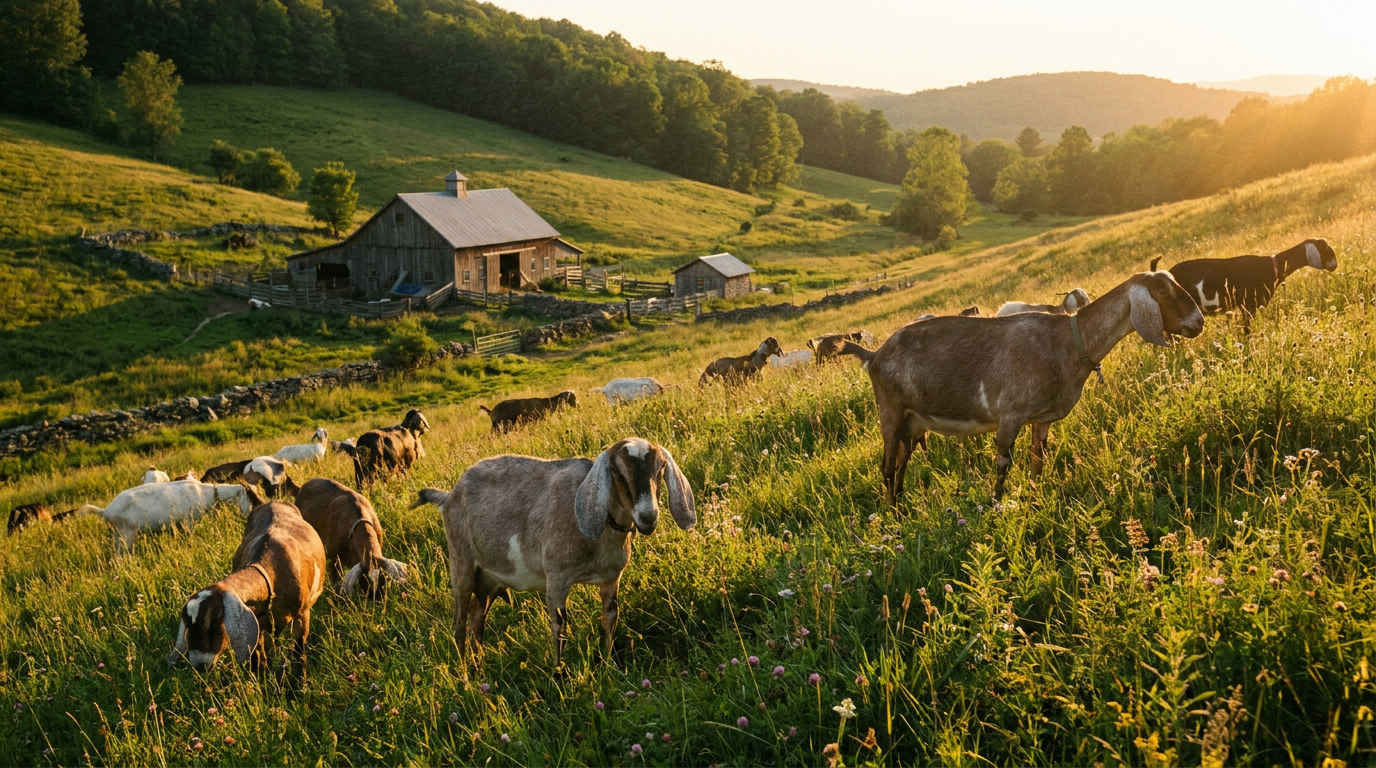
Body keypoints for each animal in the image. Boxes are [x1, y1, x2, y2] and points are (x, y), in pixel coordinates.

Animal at [71, 481, 258, 551]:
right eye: (249, 496)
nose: (251, 512)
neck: (208, 494)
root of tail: (106, 511)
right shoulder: (188, 521)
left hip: (118, 534)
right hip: (126, 533)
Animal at [169, 496, 326, 681]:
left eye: (215, 618)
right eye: (186, 622)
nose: (199, 664)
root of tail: (270, 502)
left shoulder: (302, 614)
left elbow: (298, 653)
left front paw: (300, 683)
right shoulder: (257, 623)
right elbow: (260, 660)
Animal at [412, 437, 695, 663]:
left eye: (661, 468)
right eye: (617, 471)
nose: (648, 517)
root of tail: (449, 495)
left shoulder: (612, 577)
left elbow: (609, 617)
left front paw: (607, 662)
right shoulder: (557, 576)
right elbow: (560, 626)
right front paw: (559, 673)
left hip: (490, 577)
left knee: (476, 615)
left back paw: (478, 662)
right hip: (461, 562)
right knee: (459, 622)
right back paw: (464, 672)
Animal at [844, 271, 1203, 503]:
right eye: (1164, 293)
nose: (1199, 322)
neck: (1068, 342)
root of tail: (873, 355)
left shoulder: (1040, 419)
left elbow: (1037, 461)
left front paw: (1033, 498)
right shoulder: (1011, 414)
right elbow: (1003, 463)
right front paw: (997, 507)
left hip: (912, 422)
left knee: (900, 464)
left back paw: (900, 506)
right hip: (890, 410)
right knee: (887, 468)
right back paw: (891, 516)